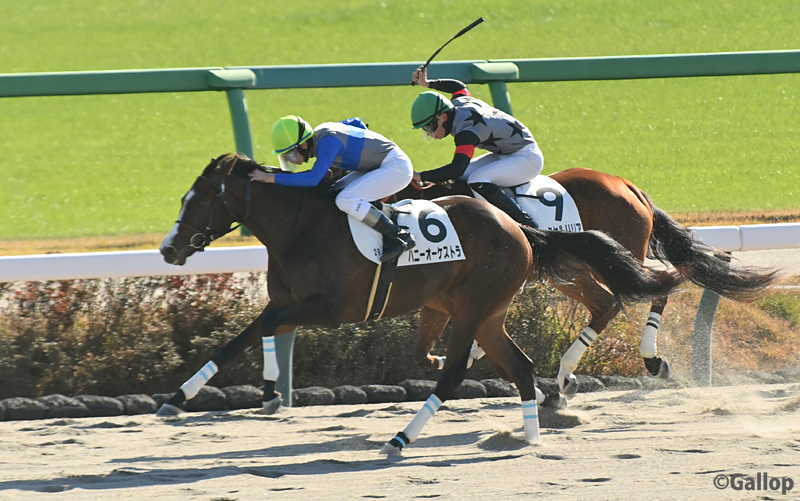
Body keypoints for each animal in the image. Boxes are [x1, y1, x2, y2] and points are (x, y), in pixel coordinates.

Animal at [155, 153, 687, 455]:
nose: (168, 249)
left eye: (197, 201)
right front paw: (181, 397)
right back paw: (535, 421)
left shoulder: (329, 309)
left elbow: (263, 329)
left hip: (505, 294)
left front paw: (260, 391)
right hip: (510, 297)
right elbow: (244, 337)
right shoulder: (287, 303)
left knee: (629, 296)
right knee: (532, 353)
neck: (302, 227)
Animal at [390, 169, 778, 398]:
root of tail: (629, 186)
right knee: (608, 303)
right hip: (577, 270)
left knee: (652, 289)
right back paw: (569, 374)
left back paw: (646, 359)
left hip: (616, 256)